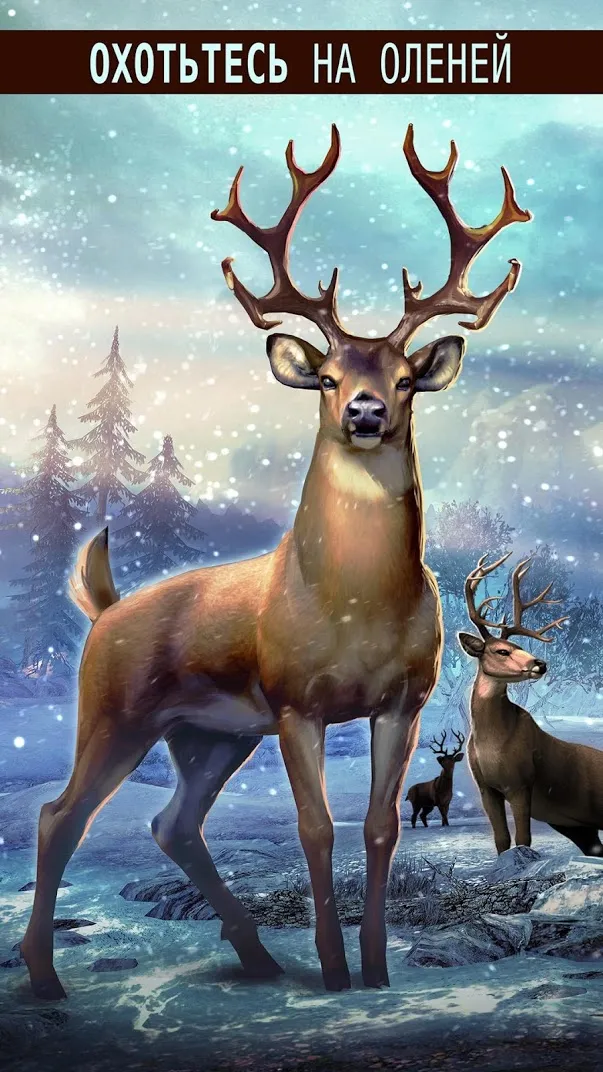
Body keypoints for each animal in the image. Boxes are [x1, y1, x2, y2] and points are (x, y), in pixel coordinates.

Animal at [20, 123, 531, 1002]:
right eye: (325, 377)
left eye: (406, 380)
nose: (364, 411)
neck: (353, 609)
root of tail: (105, 609)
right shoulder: (296, 700)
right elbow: (314, 827)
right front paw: (331, 970)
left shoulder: (405, 700)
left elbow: (379, 827)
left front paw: (373, 970)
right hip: (114, 710)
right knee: (62, 816)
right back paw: (45, 977)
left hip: (211, 735)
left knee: (172, 822)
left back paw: (256, 955)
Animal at [459, 554, 603, 858]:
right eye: (502, 651)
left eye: (520, 647)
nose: (541, 664)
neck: (492, 743)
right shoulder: (487, 788)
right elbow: (502, 840)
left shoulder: (522, 782)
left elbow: (523, 838)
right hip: (577, 825)